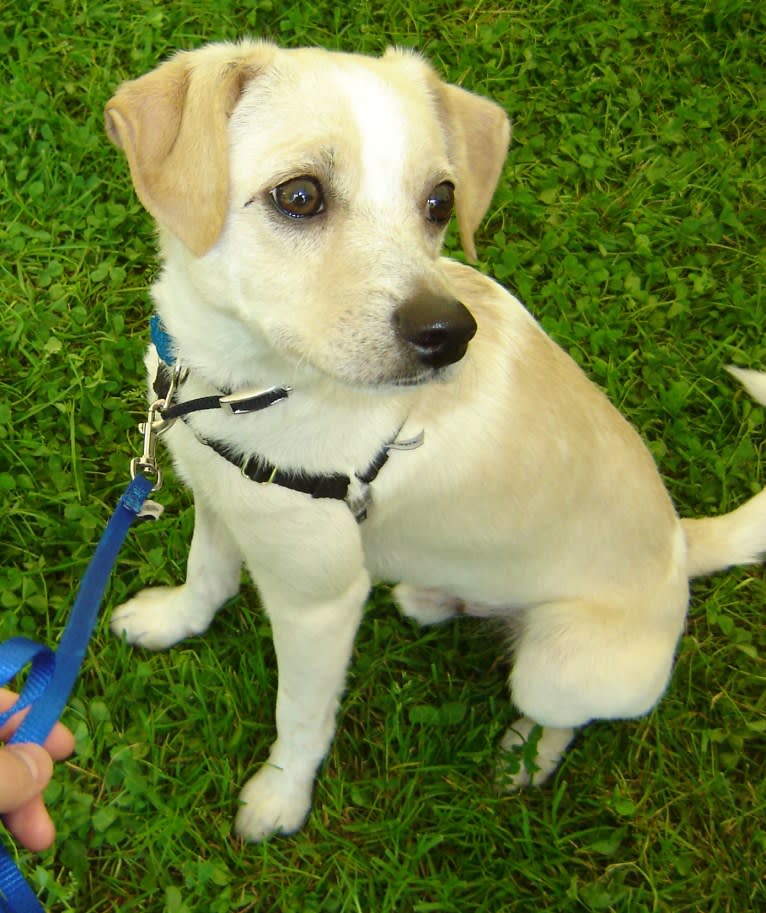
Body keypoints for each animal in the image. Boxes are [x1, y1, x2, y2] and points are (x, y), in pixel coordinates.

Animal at [103, 41, 766, 840]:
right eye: (299, 195)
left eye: (441, 202)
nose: (449, 335)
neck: (241, 383)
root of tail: (682, 544)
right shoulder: (221, 499)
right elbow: (206, 576)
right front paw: (170, 622)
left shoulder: (319, 603)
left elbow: (301, 715)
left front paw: (280, 798)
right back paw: (437, 597)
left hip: (555, 670)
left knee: (562, 721)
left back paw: (525, 758)